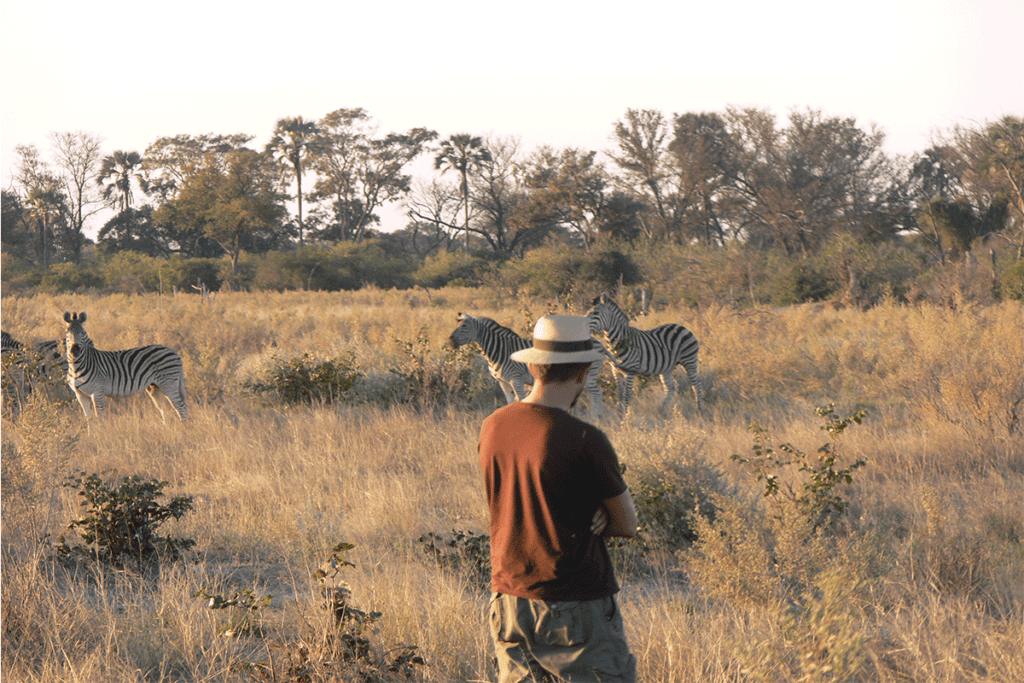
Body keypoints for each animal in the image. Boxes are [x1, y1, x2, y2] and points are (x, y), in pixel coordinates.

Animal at [61, 311, 189, 421]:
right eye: (67, 332)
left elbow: (100, 418)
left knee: (181, 407)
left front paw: (101, 434)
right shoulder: (80, 394)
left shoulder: (97, 391)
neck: (76, 366)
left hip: (169, 383)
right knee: (164, 410)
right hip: (155, 387)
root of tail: (174, 352)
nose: (75, 350)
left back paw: (184, 429)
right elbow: (89, 419)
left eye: (82, 332)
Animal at [444, 313, 602, 419]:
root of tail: (597, 341)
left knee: (597, 392)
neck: (499, 351)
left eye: (464, 326)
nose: (449, 342)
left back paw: (595, 418)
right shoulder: (503, 381)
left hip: (589, 373)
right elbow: (509, 401)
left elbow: (520, 400)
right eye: (456, 326)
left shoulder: (516, 378)